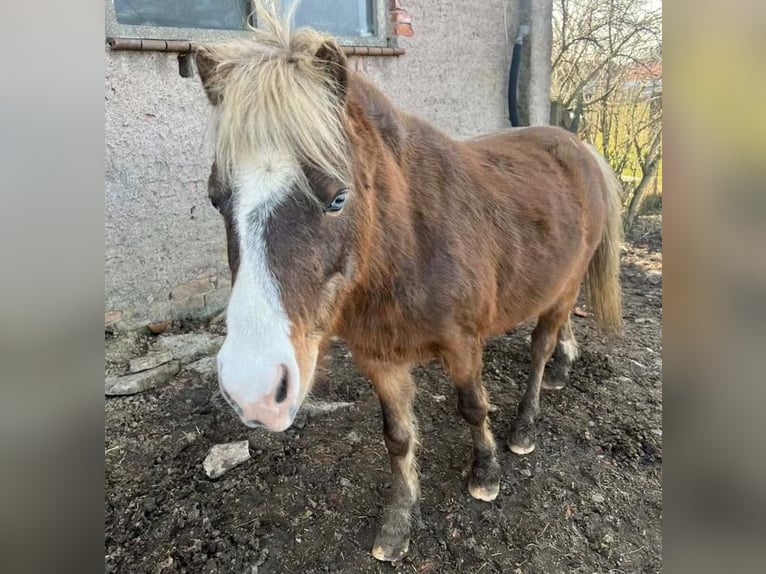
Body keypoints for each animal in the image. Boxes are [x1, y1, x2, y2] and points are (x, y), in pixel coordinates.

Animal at [194, 2, 622, 562]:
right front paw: (398, 524)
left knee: (540, 349)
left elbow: (472, 407)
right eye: (216, 198)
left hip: (565, 287)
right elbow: (396, 436)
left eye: (337, 197)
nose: (255, 390)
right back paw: (564, 368)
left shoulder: (463, 345)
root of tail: (579, 148)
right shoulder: (379, 359)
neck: (407, 247)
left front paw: (485, 474)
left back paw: (527, 421)